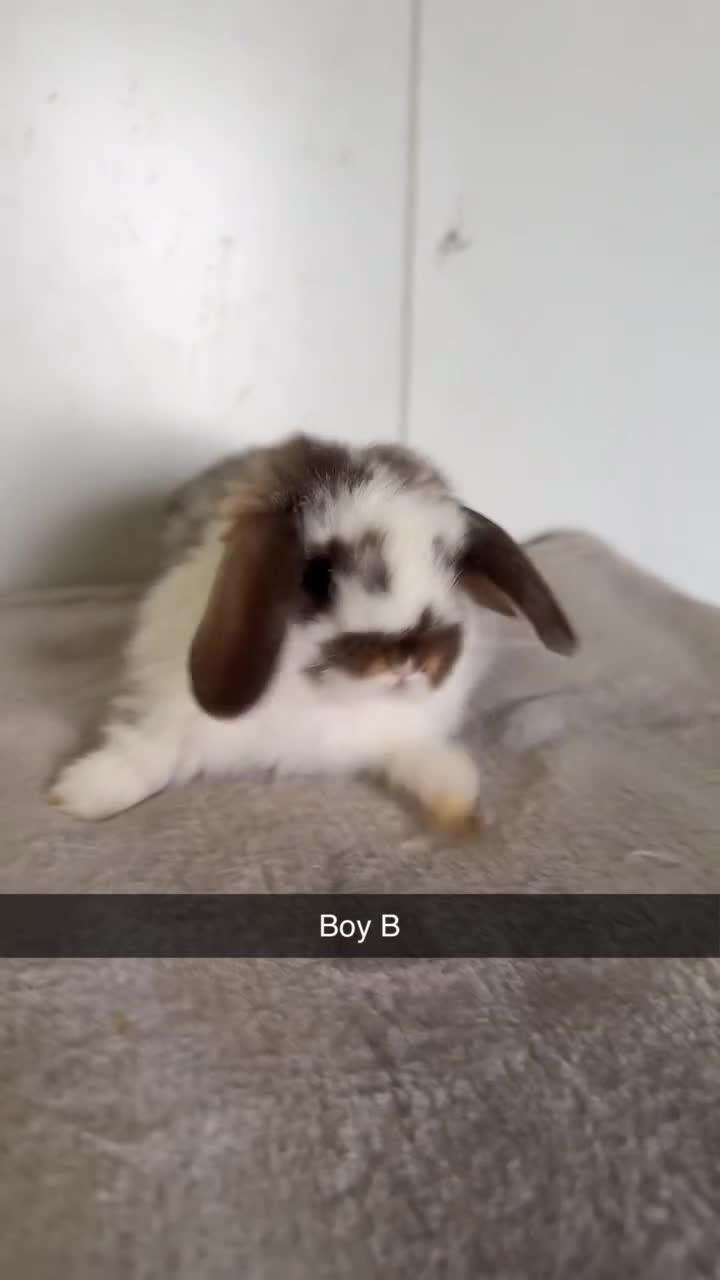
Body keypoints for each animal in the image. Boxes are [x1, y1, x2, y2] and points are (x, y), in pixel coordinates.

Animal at [48, 433, 577, 831]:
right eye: (317, 576)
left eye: (452, 565)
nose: (409, 657)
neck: (324, 701)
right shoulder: (166, 703)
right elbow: (147, 751)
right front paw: (79, 794)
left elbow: (417, 754)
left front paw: (456, 796)